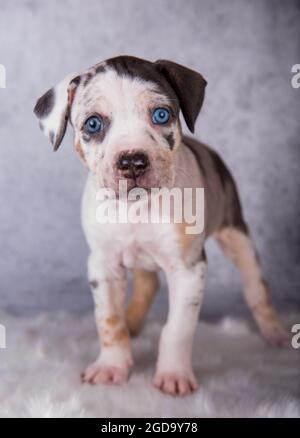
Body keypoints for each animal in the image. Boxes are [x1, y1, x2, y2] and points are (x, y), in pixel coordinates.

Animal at [34, 55, 290, 396]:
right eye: (93, 124)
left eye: (160, 114)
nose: (132, 161)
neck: (137, 208)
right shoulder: (103, 265)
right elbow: (109, 320)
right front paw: (112, 366)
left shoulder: (189, 269)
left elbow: (178, 328)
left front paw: (173, 375)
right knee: (147, 284)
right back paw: (133, 322)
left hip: (238, 237)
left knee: (256, 287)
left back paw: (274, 332)